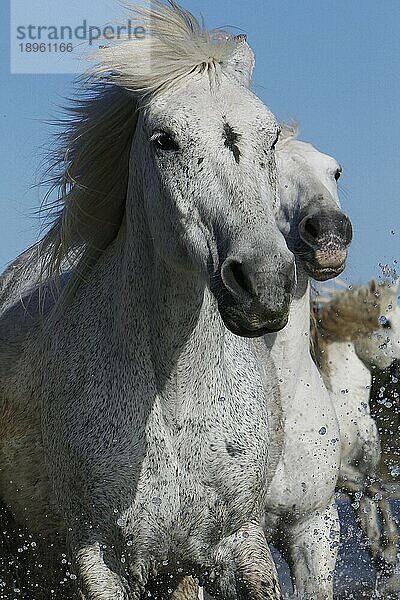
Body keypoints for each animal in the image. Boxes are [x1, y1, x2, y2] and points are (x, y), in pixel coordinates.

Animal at [0, 2, 296, 596]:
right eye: (165, 140)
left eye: (271, 138)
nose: (264, 283)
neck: (172, 389)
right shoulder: (97, 554)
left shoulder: (237, 540)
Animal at [312, 280, 400, 596]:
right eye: (385, 322)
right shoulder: (337, 474)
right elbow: (375, 490)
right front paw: (388, 553)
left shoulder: (363, 466)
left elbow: (373, 499)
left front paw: (384, 558)